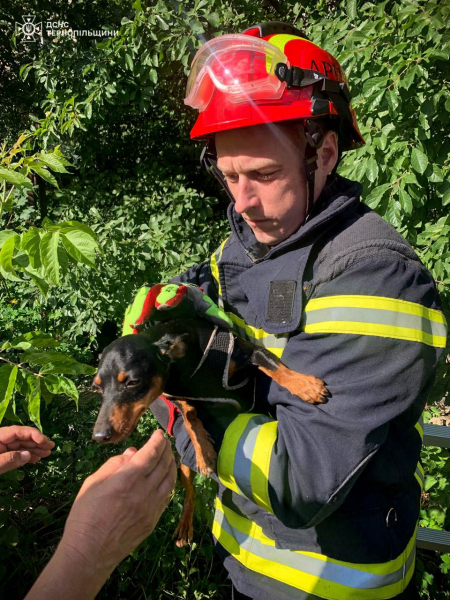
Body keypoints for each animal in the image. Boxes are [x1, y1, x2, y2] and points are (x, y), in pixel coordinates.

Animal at [93, 316, 328, 548]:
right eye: (97, 388)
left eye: (133, 381)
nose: (99, 436)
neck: (185, 371)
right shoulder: (183, 399)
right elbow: (190, 419)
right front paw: (203, 452)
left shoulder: (249, 352)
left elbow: (273, 366)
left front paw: (304, 385)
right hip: (183, 467)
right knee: (190, 493)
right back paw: (184, 527)